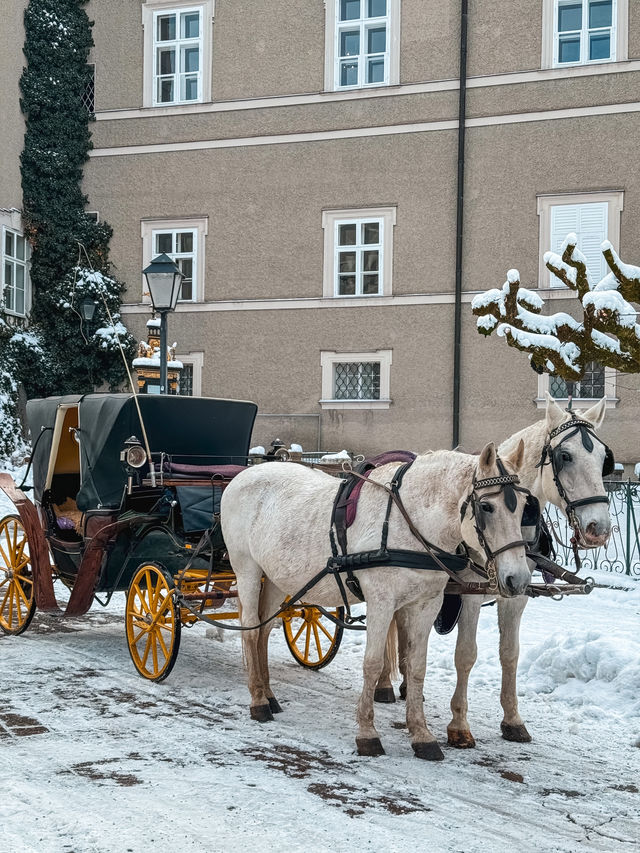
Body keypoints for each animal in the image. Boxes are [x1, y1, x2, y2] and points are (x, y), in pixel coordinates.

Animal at [222, 442, 532, 756]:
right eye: (486, 507)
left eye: (523, 507)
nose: (518, 579)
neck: (408, 523)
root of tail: (243, 475)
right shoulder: (381, 602)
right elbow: (371, 664)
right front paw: (367, 732)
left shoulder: (426, 604)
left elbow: (416, 666)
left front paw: (421, 734)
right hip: (248, 569)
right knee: (250, 630)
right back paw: (258, 702)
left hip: (276, 578)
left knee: (262, 629)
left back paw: (268, 694)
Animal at [378, 396, 612, 748]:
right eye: (565, 456)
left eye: (602, 458)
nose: (599, 529)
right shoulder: (470, 595)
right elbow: (466, 654)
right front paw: (459, 725)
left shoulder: (516, 592)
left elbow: (510, 653)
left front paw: (513, 719)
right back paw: (382, 685)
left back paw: (406, 684)